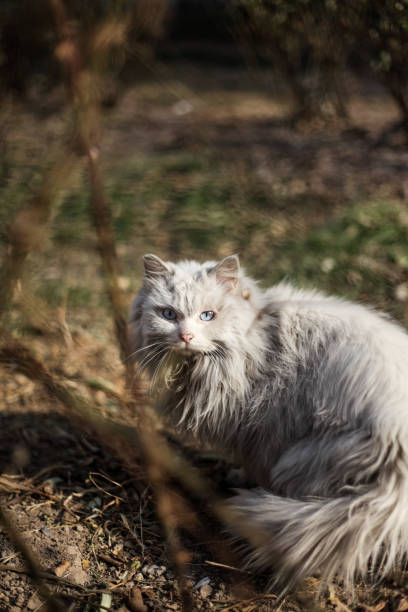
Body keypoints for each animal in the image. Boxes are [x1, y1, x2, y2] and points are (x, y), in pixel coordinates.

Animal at [129, 251, 408, 592]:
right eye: (169, 314)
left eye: (208, 316)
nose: (185, 336)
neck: (258, 341)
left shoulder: (264, 430)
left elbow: (253, 463)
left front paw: (242, 480)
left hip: (301, 459)